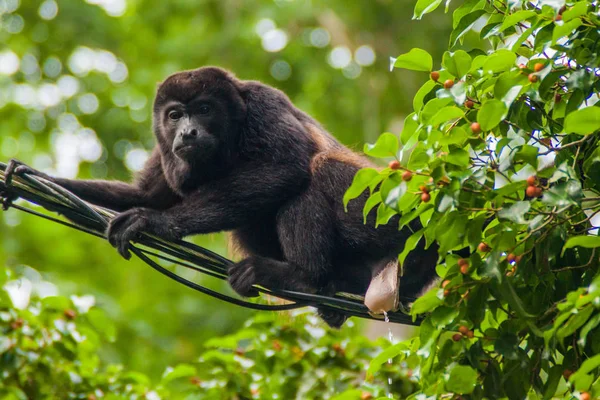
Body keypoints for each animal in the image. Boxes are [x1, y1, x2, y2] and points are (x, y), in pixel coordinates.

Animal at [2, 67, 438, 326]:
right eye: (175, 115)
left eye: (204, 109)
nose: (188, 132)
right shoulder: (166, 149)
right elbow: (146, 194)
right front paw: (25, 177)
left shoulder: (263, 103)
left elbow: (287, 167)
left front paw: (155, 222)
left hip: (388, 213)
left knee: (315, 174)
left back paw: (303, 276)